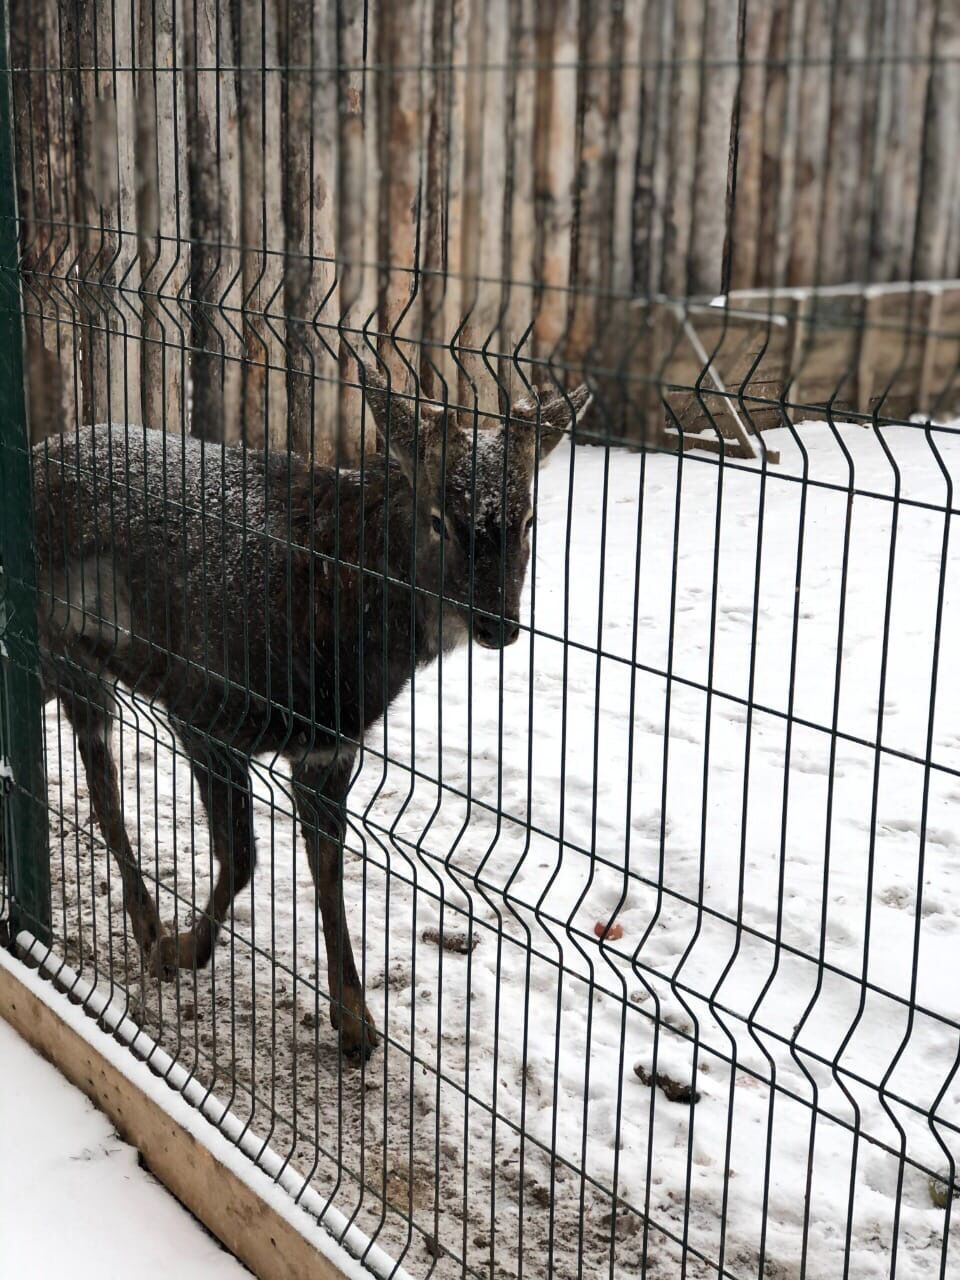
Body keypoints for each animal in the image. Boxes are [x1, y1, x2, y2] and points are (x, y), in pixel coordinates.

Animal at [33, 363, 593, 1059]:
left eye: (528, 521)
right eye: (439, 518)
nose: (499, 625)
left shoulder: (331, 746)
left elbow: (328, 868)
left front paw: (355, 1021)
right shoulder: (203, 706)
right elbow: (242, 857)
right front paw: (188, 948)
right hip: (68, 655)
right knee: (104, 794)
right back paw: (150, 933)